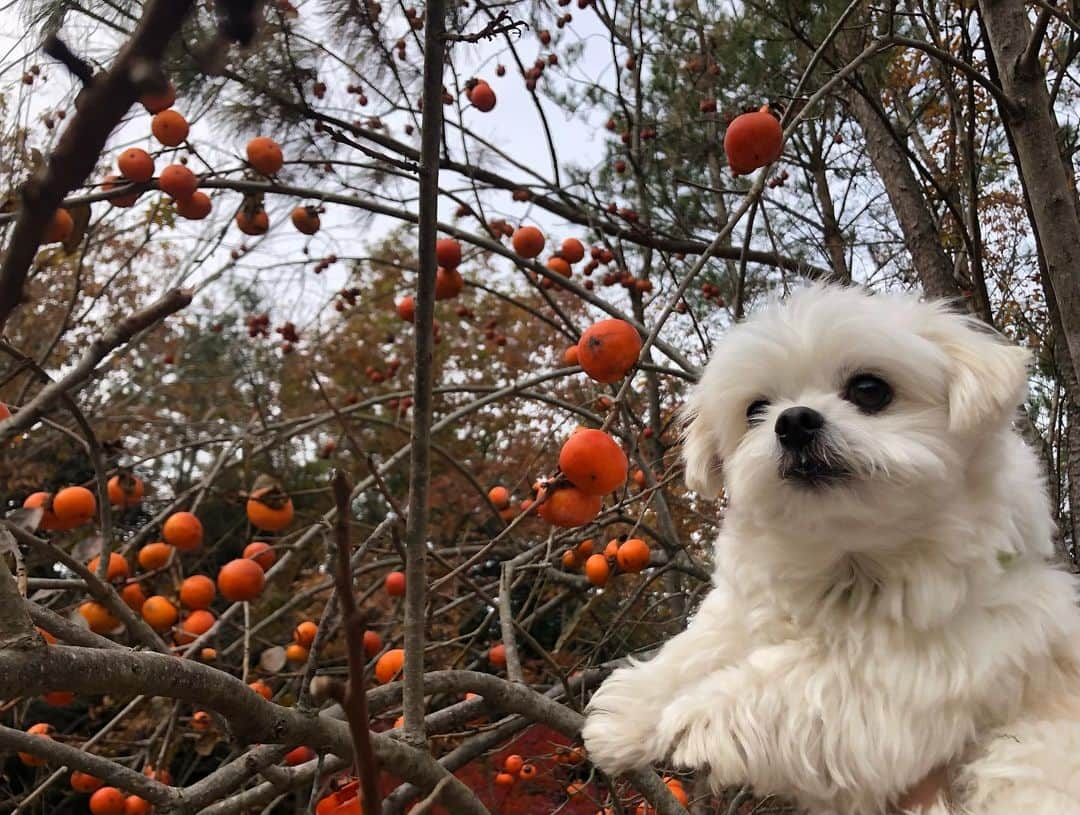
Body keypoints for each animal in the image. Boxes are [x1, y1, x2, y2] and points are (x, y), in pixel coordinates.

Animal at [587, 282, 1080, 811]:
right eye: (755, 410)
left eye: (869, 390)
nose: (794, 422)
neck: (848, 553)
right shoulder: (756, 603)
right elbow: (704, 642)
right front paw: (632, 710)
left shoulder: (918, 674)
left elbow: (800, 682)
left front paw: (692, 716)